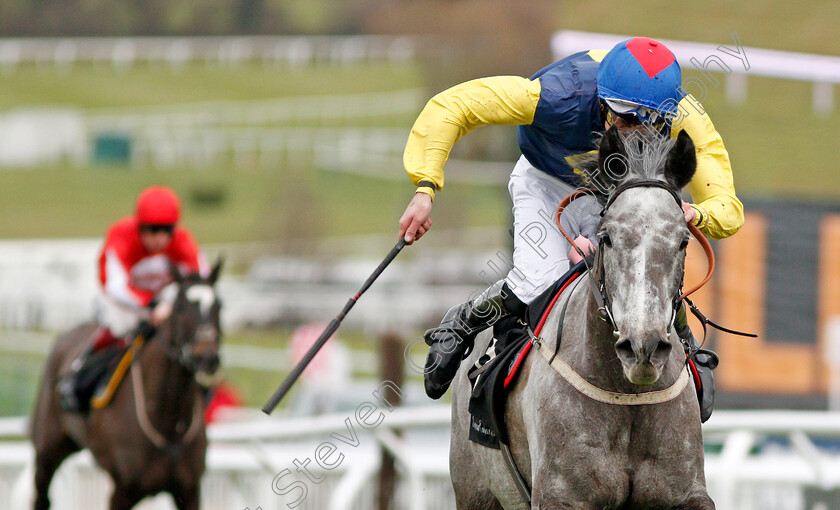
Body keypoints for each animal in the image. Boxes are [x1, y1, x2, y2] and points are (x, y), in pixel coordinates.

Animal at [31, 262, 225, 510]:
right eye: (181, 306)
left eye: (219, 305)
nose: (207, 357)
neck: (169, 426)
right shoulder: (122, 491)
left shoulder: (189, 491)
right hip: (46, 450)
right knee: (42, 496)